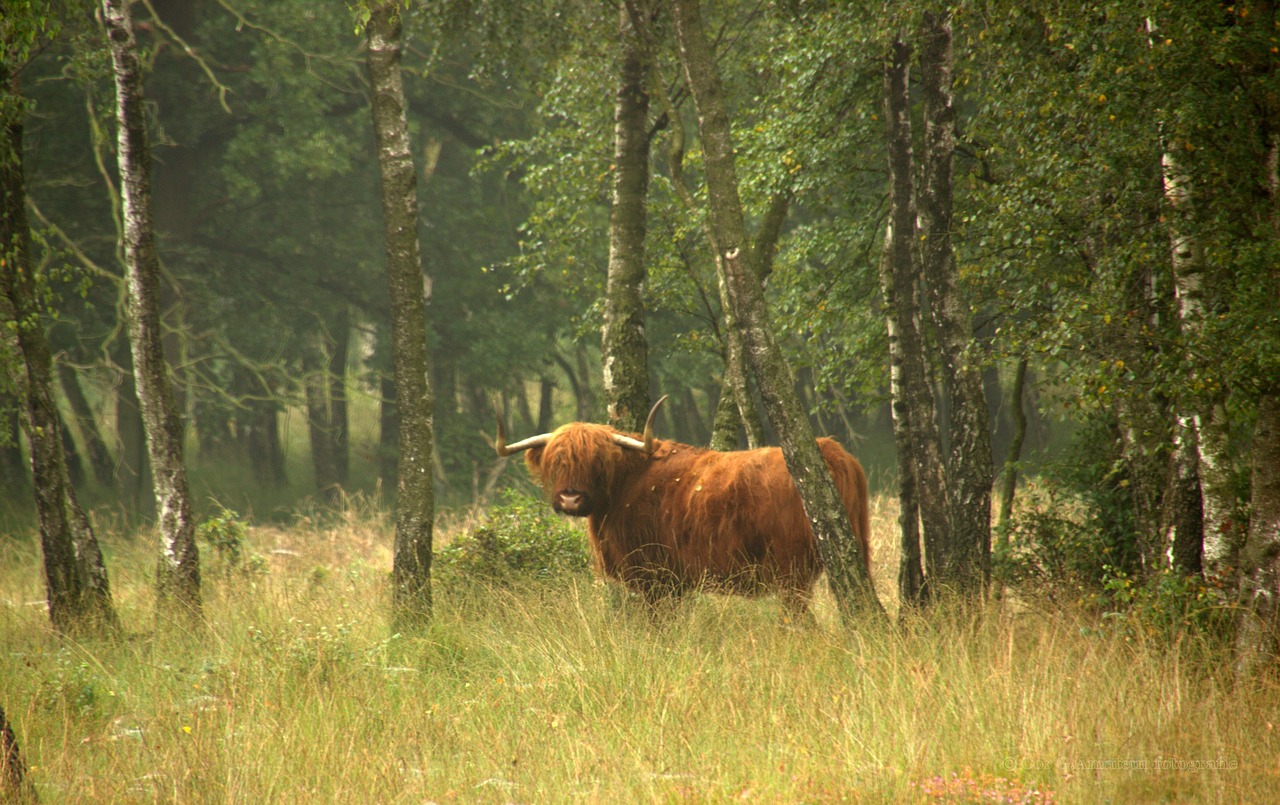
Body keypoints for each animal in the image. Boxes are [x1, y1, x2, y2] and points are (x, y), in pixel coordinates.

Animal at [494, 399, 875, 611]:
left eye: (597, 461)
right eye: (556, 461)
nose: (570, 497)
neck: (626, 484)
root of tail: (832, 450)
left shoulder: (655, 577)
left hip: (791, 570)